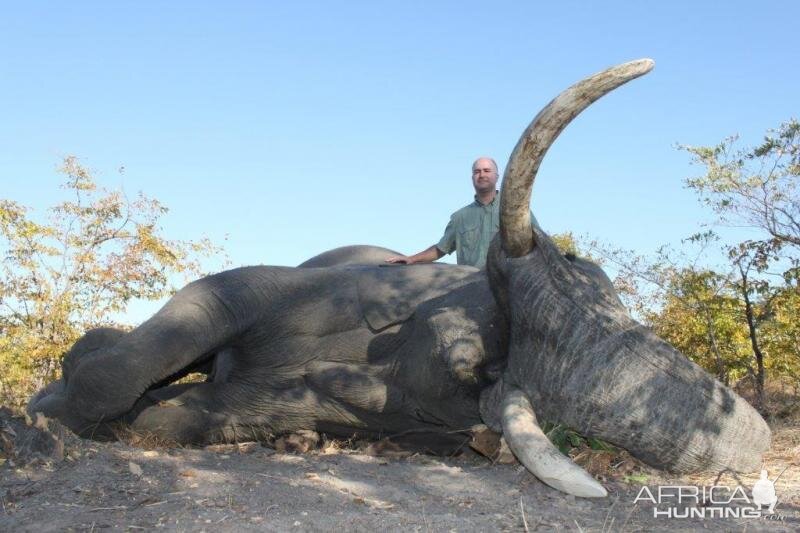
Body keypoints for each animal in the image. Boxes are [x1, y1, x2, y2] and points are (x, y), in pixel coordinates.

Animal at [28, 59, 772, 498]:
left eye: (472, 373)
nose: (760, 439)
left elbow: (201, 411)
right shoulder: (298, 287)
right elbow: (213, 302)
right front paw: (54, 404)